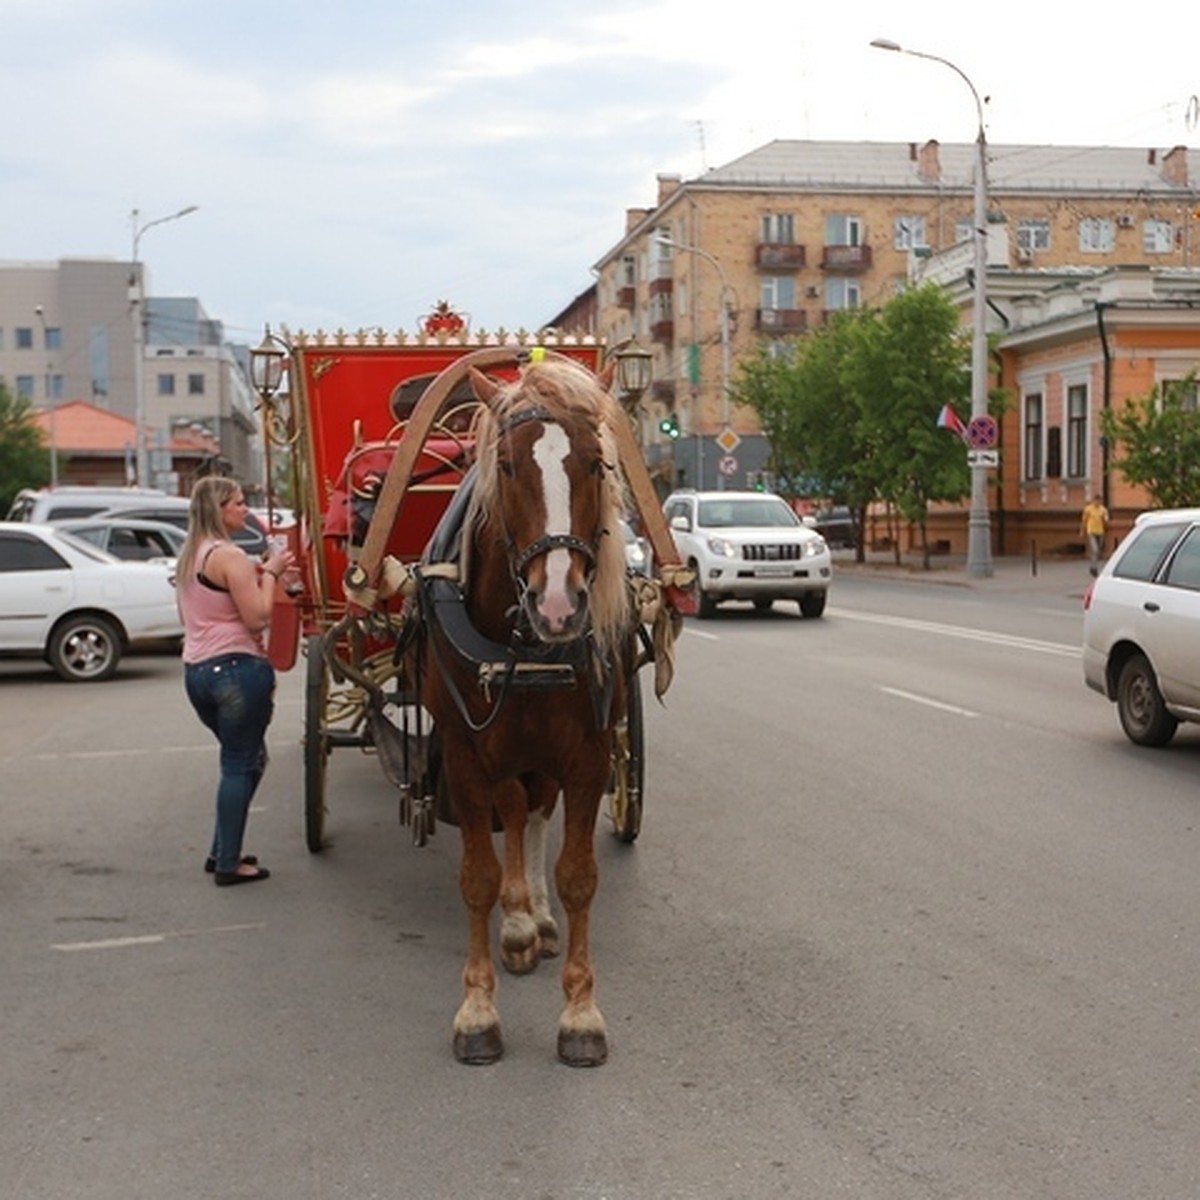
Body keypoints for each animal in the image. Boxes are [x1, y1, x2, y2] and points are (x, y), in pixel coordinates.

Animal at [412, 350, 633, 1065]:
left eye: (596, 463)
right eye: (507, 466)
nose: (557, 604)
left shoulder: (590, 754)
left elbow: (578, 876)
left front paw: (581, 1015)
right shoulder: (464, 755)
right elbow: (478, 877)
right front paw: (478, 1010)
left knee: (533, 813)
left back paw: (534, 915)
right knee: (515, 811)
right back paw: (517, 924)